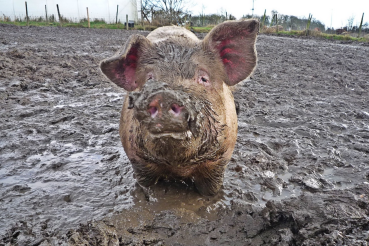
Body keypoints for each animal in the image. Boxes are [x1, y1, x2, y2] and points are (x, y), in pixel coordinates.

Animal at [99, 19, 258, 196]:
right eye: (149, 78)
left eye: (203, 78)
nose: (165, 96)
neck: (179, 166)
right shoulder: (138, 161)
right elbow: (145, 184)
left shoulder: (219, 162)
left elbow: (211, 191)